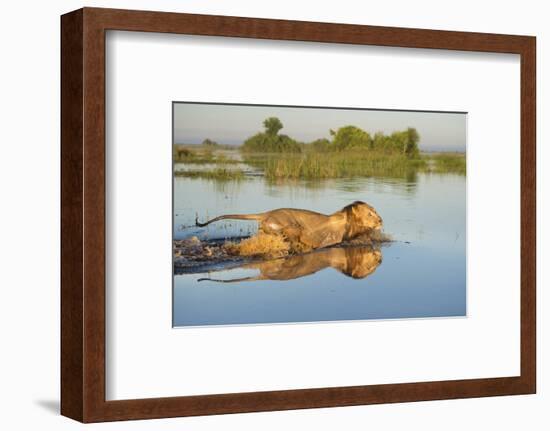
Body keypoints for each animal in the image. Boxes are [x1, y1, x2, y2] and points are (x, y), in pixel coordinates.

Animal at [197, 201, 384, 251]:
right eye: (370, 214)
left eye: (375, 212)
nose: (381, 220)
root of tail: (266, 213)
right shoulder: (331, 241)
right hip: (291, 225)